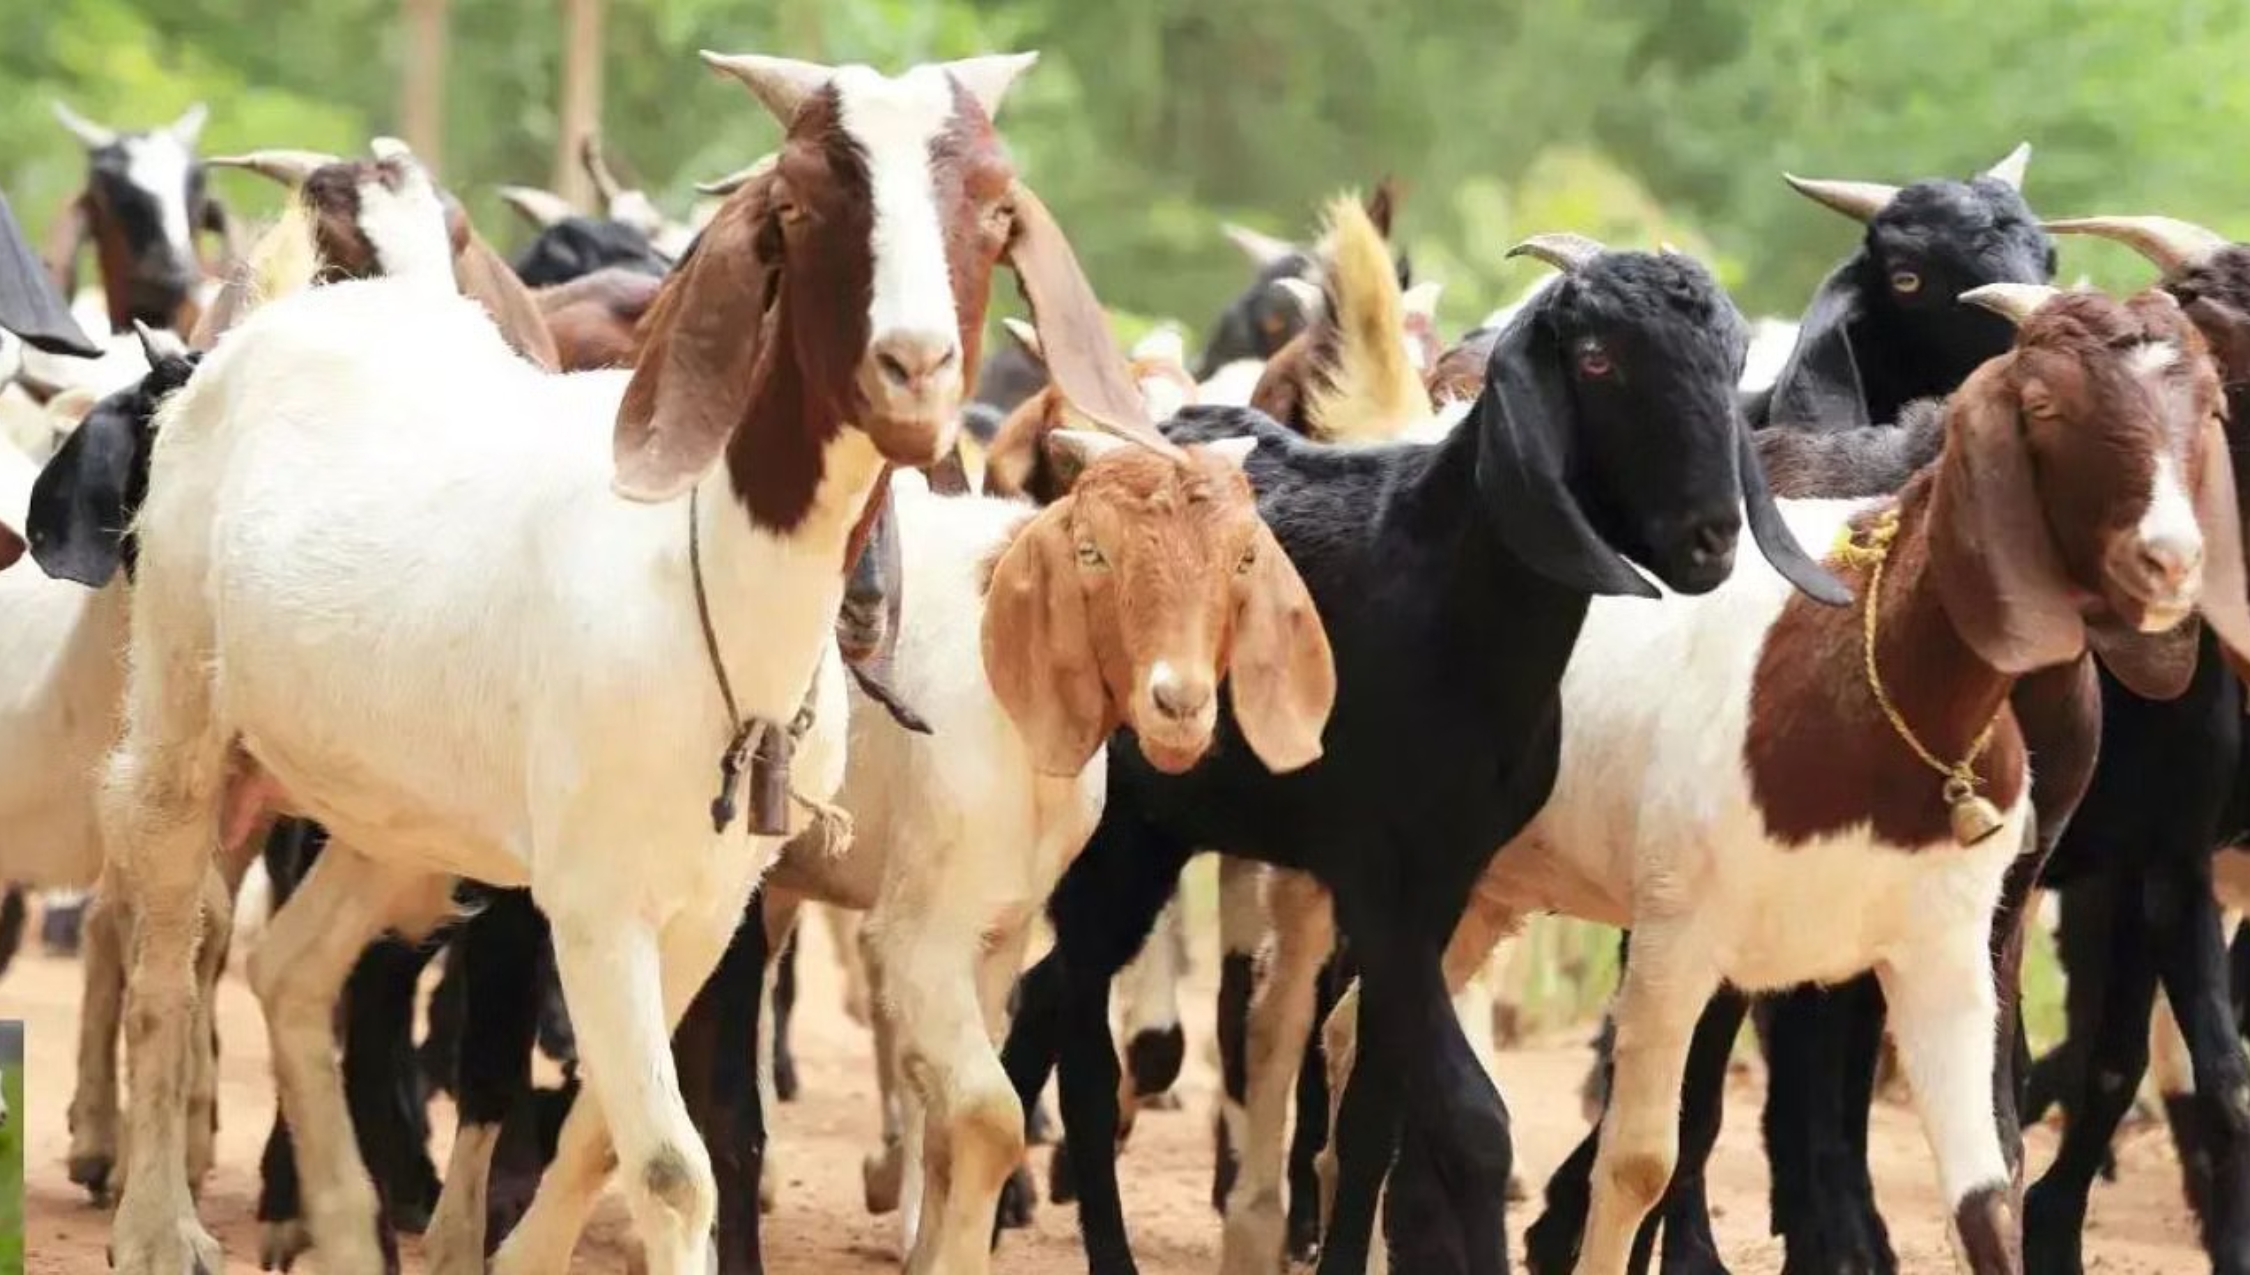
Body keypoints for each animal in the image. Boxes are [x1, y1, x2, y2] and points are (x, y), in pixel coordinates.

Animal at [93, 52, 1172, 1275]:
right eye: (798, 203)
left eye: (994, 211)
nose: (917, 369)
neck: (706, 586)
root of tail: (275, 323)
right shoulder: (594, 902)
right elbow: (668, 1160)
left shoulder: (709, 906)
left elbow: (612, 1132)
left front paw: (516, 1255)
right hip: (180, 712)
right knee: (167, 955)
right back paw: (160, 1224)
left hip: (393, 808)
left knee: (293, 970)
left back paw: (346, 1227)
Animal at [996, 233, 1844, 1275]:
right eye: (1597, 359)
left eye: (1732, 359)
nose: (1711, 537)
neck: (1443, 593)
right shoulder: (1375, 873)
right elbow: (1470, 1119)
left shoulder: (1447, 875)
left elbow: (1375, 1108)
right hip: (1115, 833)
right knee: (1080, 1035)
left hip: (1157, 834)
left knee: (1050, 999)